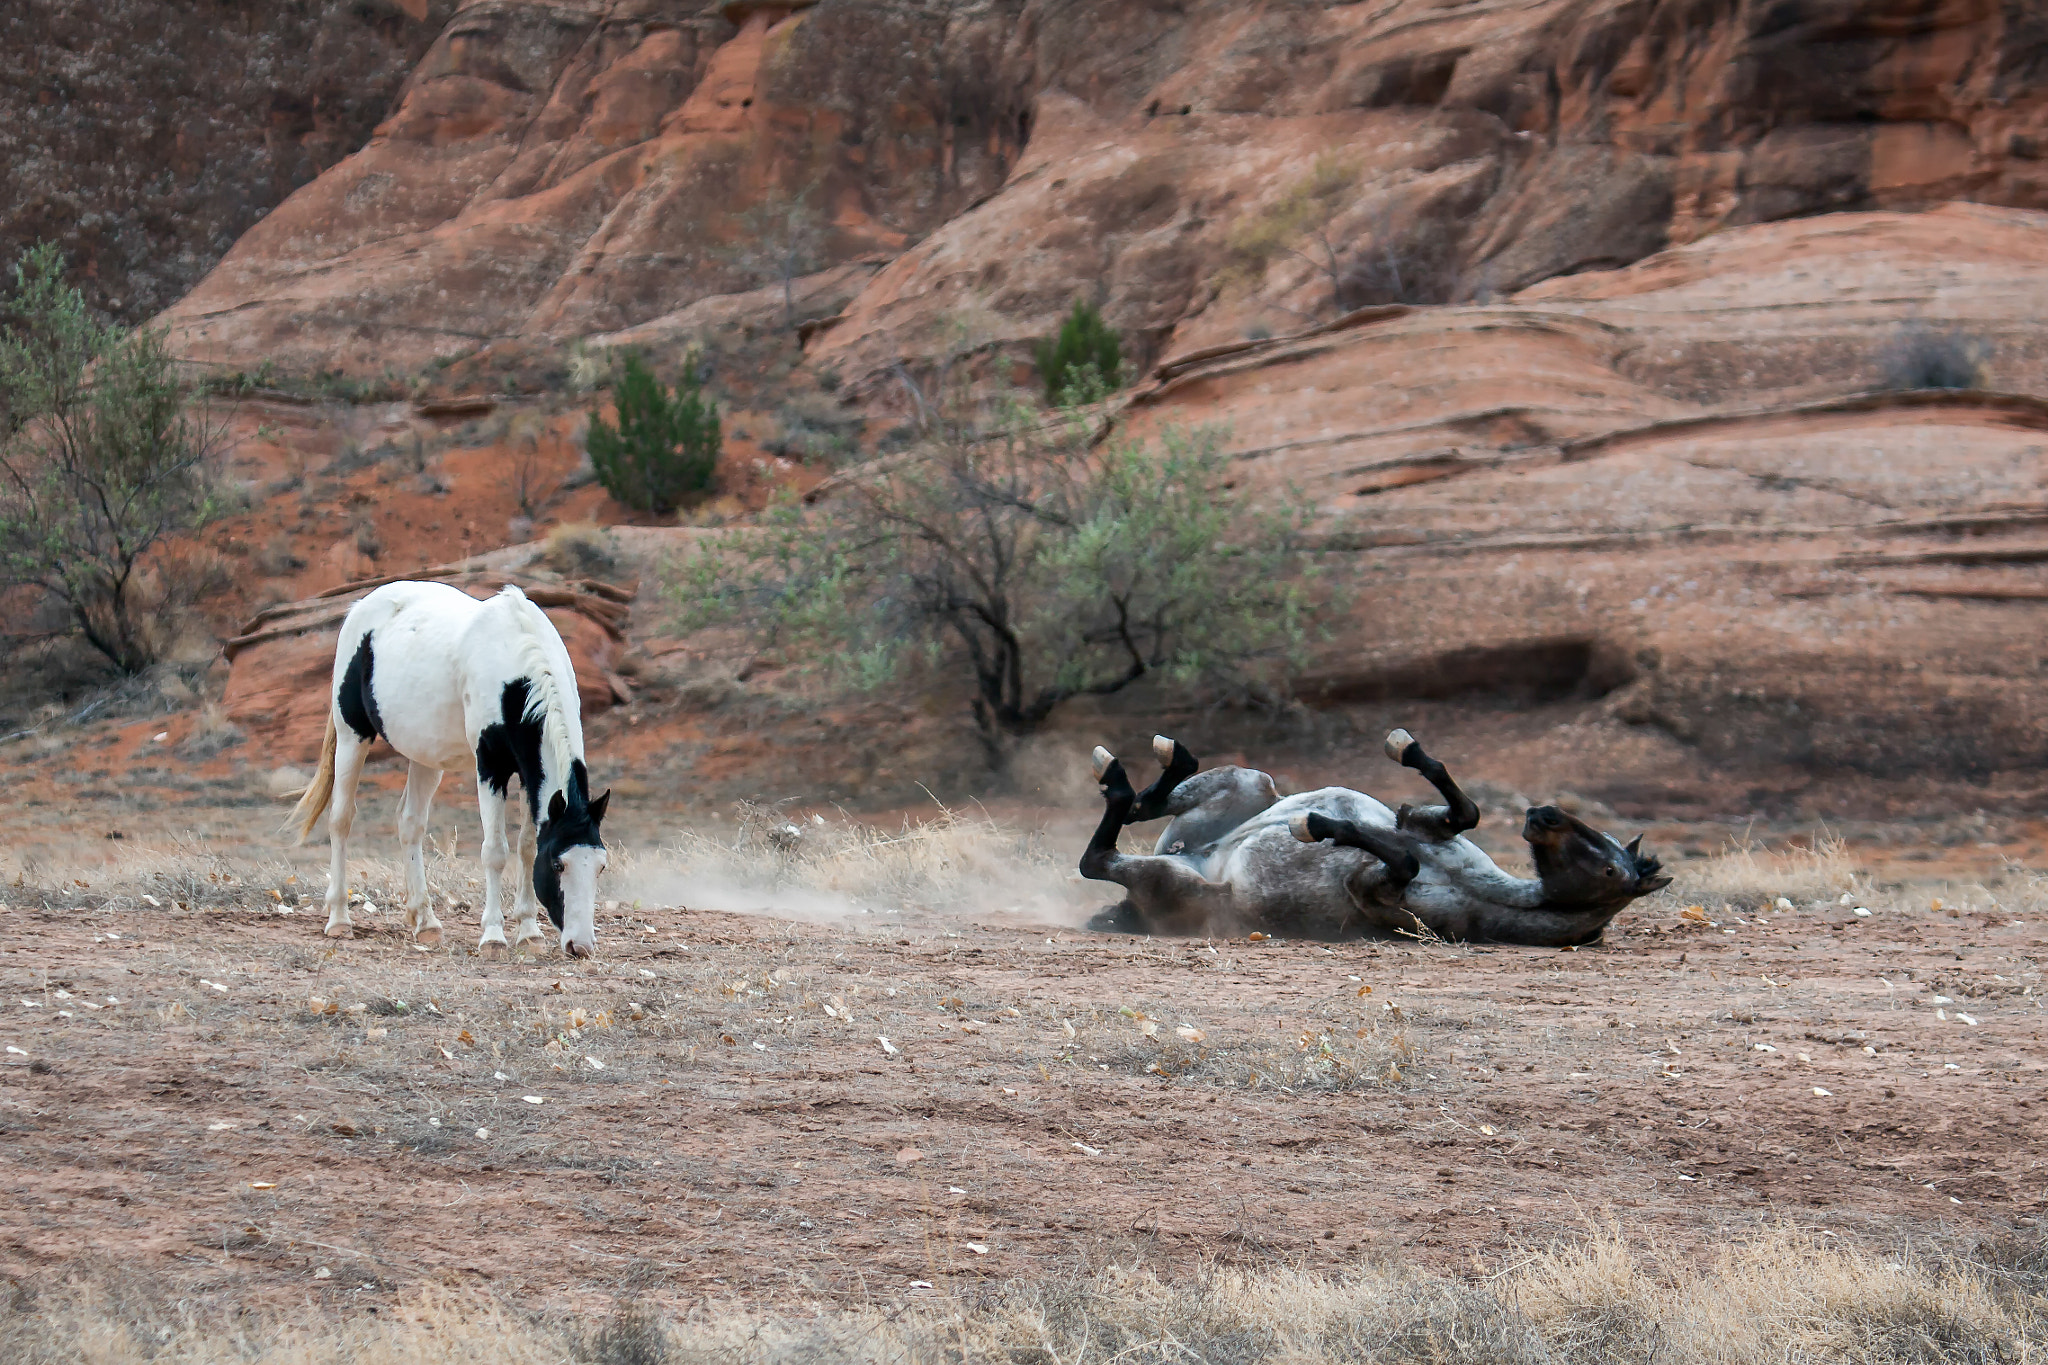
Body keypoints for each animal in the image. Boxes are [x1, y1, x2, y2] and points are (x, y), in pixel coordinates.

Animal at [286, 582, 611, 958]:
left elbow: (527, 847)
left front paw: (529, 932)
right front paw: (493, 936)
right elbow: (494, 851)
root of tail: (361, 607)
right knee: (341, 819)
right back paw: (339, 919)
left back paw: (425, 922)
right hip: (352, 734)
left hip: (424, 755)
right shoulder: (491, 766)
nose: (580, 945)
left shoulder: (529, 776)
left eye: (601, 866)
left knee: (410, 823)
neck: (516, 664)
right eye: (559, 865)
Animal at [1078, 729, 1669, 946]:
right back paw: (1155, 767)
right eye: (1602, 840)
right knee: (1149, 806)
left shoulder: (1376, 892)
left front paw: (1317, 825)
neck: (1480, 892)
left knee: (1097, 859)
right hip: (1251, 785)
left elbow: (1400, 862)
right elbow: (1465, 810)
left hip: (1173, 880)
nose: (1543, 815)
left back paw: (1119, 781)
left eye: (1611, 869)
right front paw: (1406, 749)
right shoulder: (1431, 823)